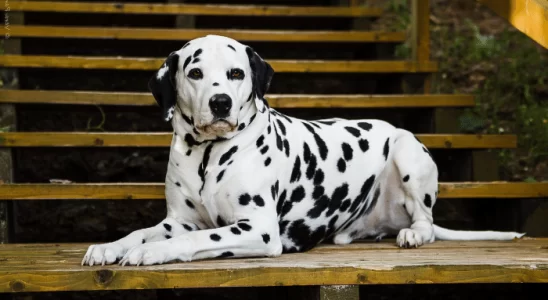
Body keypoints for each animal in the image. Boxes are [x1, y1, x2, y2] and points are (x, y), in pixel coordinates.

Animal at [81, 34, 524, 266]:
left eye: (236, 73)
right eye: (194, 72)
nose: (220, 103)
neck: (209, 155)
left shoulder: (258, 230)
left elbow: (194, 241)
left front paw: (150, 252)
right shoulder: (179, 221)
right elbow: (141, 231)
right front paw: (111, 246)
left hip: (407, 151)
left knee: (427, 223)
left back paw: (413, 234)